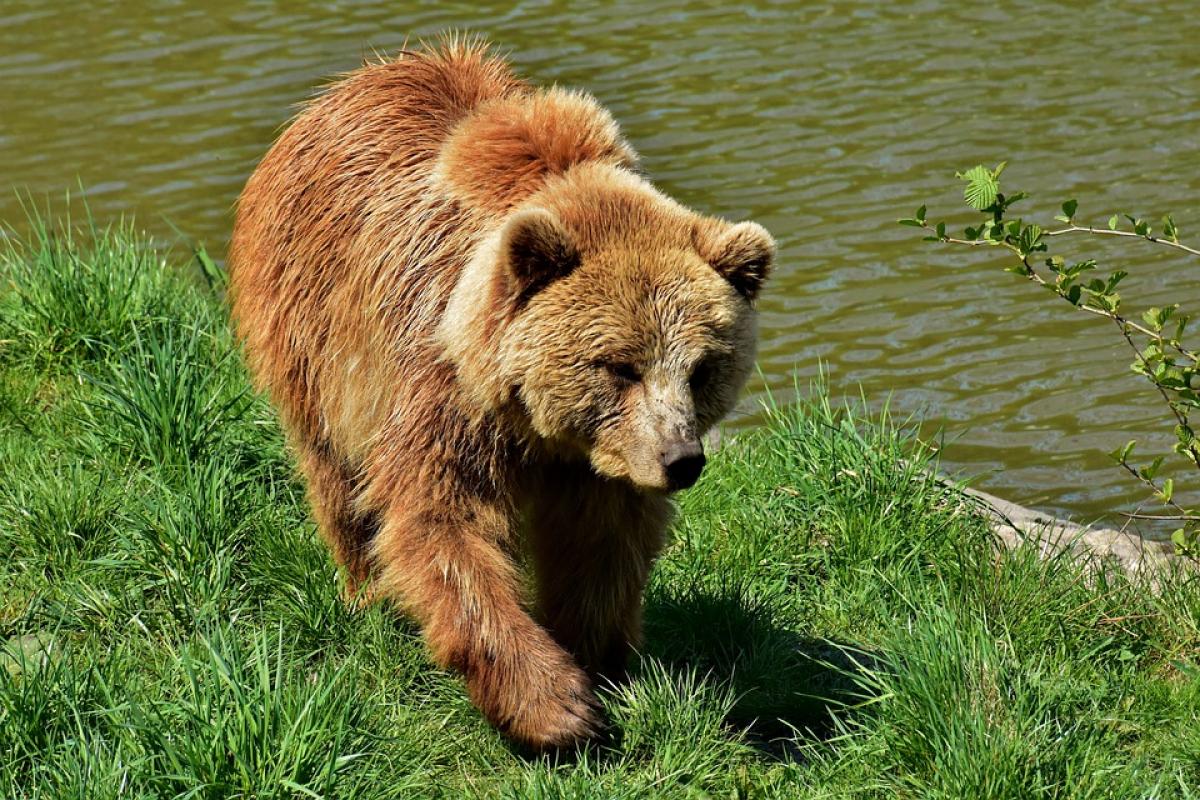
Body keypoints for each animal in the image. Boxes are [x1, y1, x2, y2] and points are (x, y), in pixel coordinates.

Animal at [228, 37, 772, 753]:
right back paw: (366, 593)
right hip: (310, 329)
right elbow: (441, 522)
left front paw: (598, 659)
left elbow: (600, 545)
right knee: (337, 477)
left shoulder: (603, 462)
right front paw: (555, 709)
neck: (535, 424)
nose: (681, 459)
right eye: (620, 365)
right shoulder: (442, 392)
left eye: (703, 367)